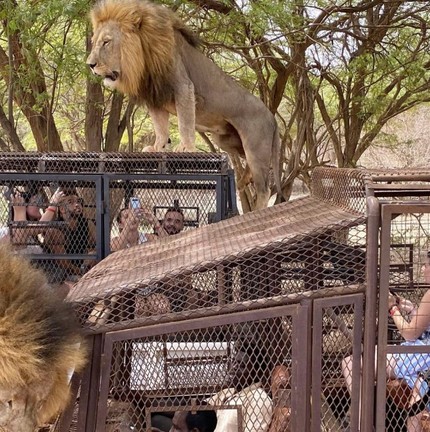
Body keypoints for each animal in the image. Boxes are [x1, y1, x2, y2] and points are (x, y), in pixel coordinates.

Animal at [87, 0, 282, 209]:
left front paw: (186, 148)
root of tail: (272, 117)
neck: (143, 57)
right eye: (95, 41)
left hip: (255, 147)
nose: (90, 64)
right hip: (225, 141)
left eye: (106, 42)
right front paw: (157, 147)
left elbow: (185, 121)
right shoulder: (155, 96)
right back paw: (244, 179)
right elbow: (160, 127)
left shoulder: (183, 86)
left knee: (264, 188)